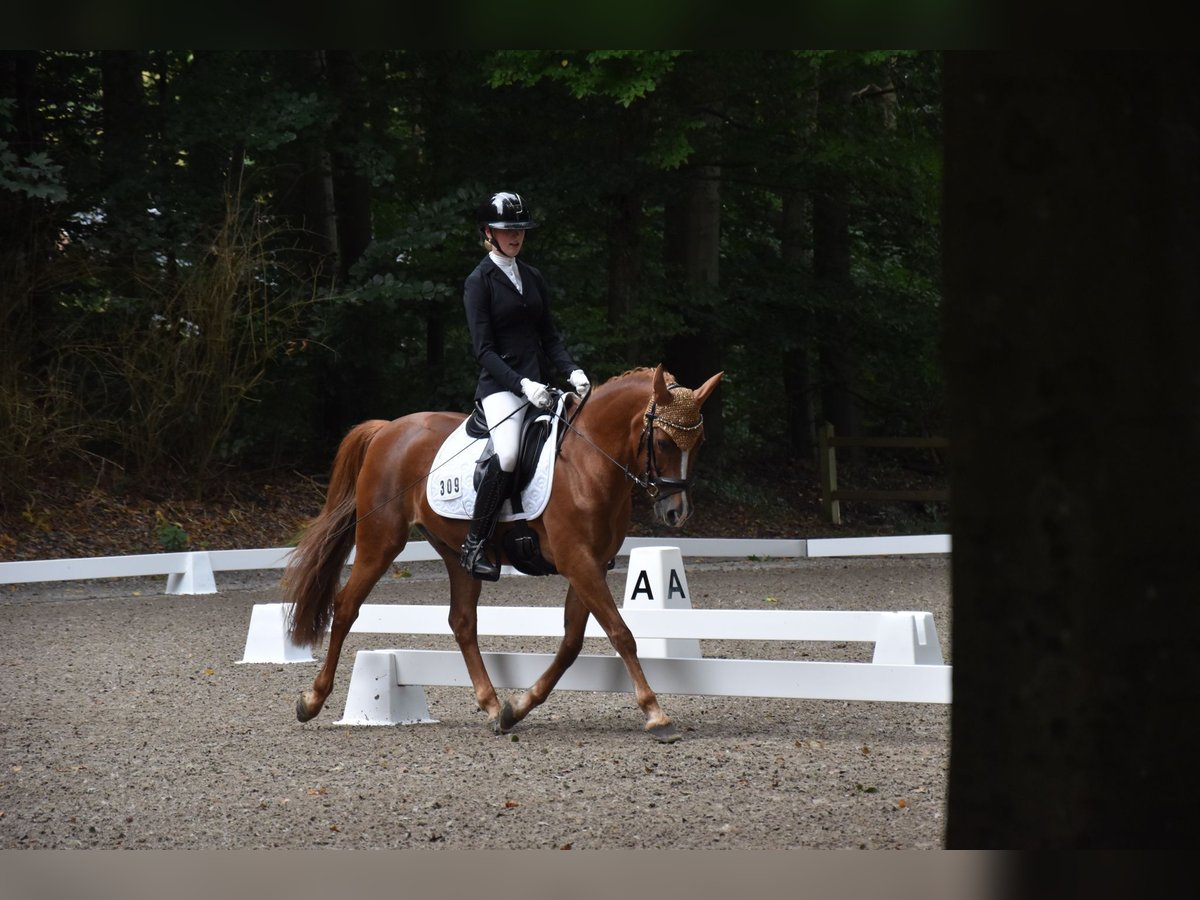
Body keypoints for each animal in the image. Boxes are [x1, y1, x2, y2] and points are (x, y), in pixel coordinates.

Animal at [285, 362, 720, 744]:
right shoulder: (578, 561)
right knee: (346, 606)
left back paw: (493, 705)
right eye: (662, 442)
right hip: (381, 539)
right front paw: (657, 715)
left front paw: (518, 709)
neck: (590, 461)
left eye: (700, 443)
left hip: (455, 551)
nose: (676, 512)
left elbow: (571, 643)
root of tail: (387, 429)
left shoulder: (591, 564)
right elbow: (621, 634)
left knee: (462, 621)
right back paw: (312, 700)